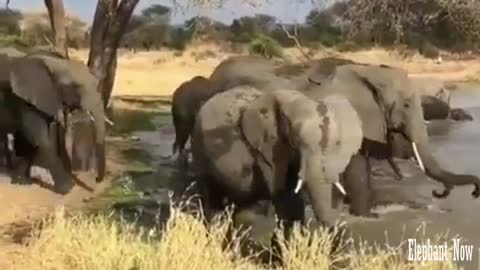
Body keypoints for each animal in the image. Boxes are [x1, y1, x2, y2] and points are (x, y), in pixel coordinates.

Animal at [0, 51, 107, 194]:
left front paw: (22, 182)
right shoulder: (27, 101)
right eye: (76, 87)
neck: (54, 63)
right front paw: (67, 188)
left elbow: (36, 141)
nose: (96, 180)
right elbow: (42, 141)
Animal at [189, 85, 362, 253]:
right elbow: (286, 199)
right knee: (212, 203)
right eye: (296, 141)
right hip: (200, 151)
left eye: (337, 143)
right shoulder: (268, 149)